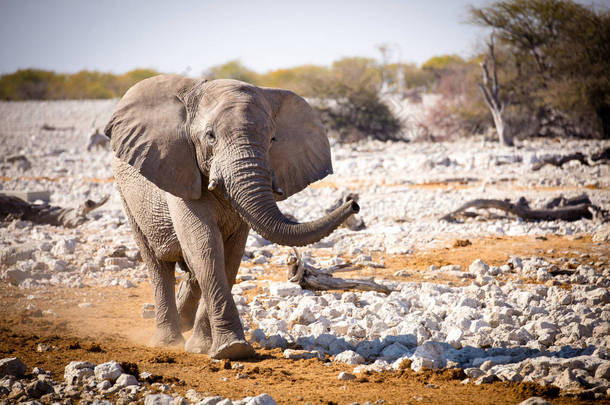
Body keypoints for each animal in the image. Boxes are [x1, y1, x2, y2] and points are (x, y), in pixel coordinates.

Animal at [104, 74, 356, 358]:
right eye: (210, 136)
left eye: (272, 140)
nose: (353, 203)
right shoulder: (180, 169)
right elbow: (205, 245)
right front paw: (231, 349)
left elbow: (231, 254)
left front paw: (211, 348)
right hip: (126, 192)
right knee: (157, 262)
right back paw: (166, 342)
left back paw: (185, 323)